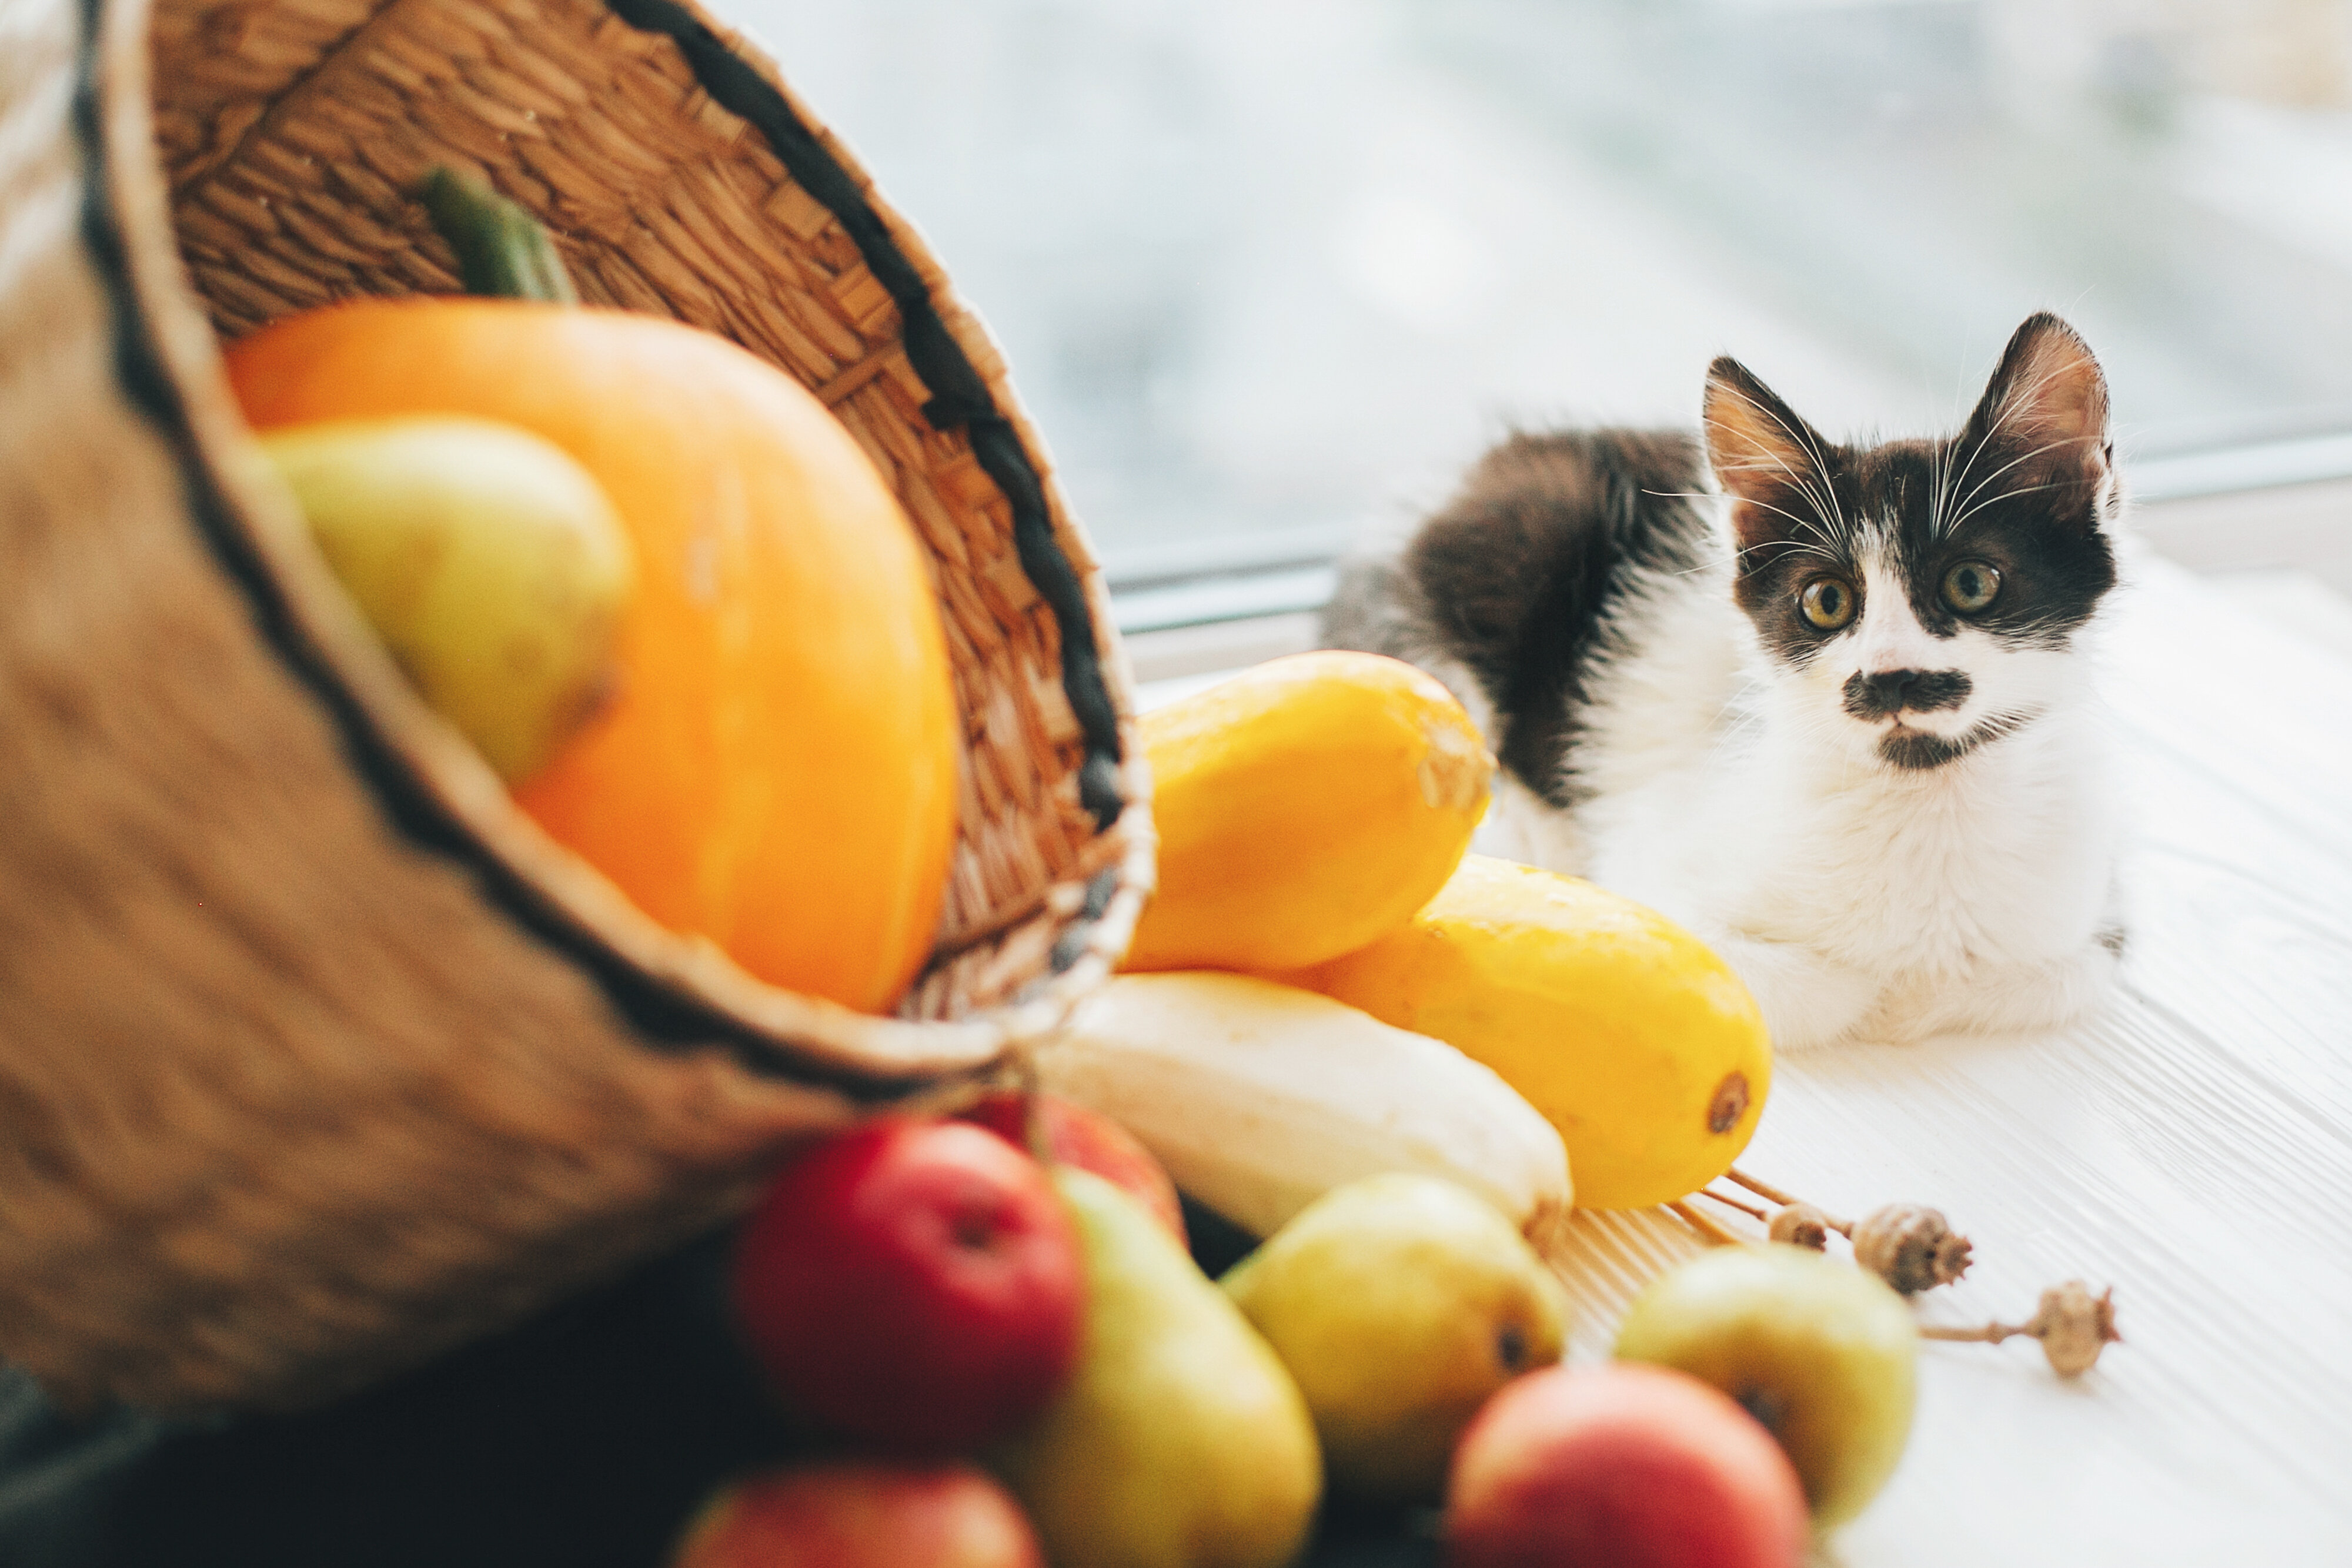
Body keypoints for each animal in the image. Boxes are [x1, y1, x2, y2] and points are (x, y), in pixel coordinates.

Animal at [1327, 315, 2136, 1053]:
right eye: (1826, 601)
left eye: (1971, 583)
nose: (1888, 679)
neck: (1921, 792)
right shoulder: (1652, 864)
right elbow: (1806, 989)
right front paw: (1872, 991)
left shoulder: (2097, 917)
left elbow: (2043, 976)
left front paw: (1912, 990)